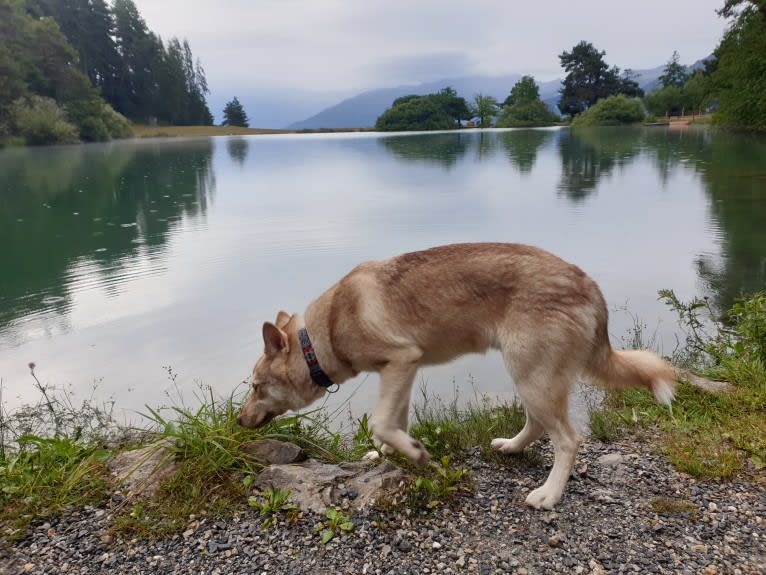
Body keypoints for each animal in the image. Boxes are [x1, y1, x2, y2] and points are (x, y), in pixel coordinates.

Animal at [237, 242, 676, 508]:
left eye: (256, 386)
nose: (238, 421)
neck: (322, 334)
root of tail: (589, 284)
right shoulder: (403, 371)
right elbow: (394, 422)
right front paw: (392, 453)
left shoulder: (401, 361)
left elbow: (380, 421)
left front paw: (414, 453)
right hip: (530, 376)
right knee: (536, 425)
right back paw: (511, 447)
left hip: (531, 375)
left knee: (568, 441)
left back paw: (549, 494)